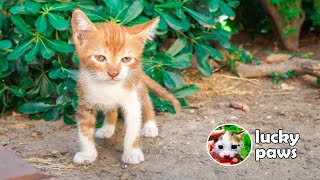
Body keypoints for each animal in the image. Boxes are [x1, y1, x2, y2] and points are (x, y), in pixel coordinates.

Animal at [72, 9, 180, 165]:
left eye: (126, 59)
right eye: (100, 58)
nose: (113, 73)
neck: (108, 87)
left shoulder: (132, 101)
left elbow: (133, 129)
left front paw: (132, 152)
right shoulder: (84, 101)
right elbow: (84, 129)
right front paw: (87, 154)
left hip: (138, 82)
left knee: (147, 101)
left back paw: (150, 126)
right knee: (112, 109)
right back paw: (107, 129)